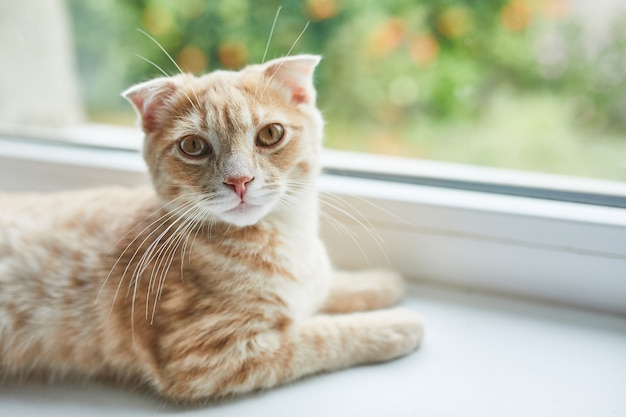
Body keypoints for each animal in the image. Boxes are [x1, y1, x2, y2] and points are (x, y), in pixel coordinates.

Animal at [0, 54, 422, 400]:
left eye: (270, 134)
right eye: (193, 146)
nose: (239, 180)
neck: (288, 237)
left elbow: (327, 285)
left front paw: (380, 282)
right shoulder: (208, 355)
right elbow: (319, 336)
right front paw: (394, 325)